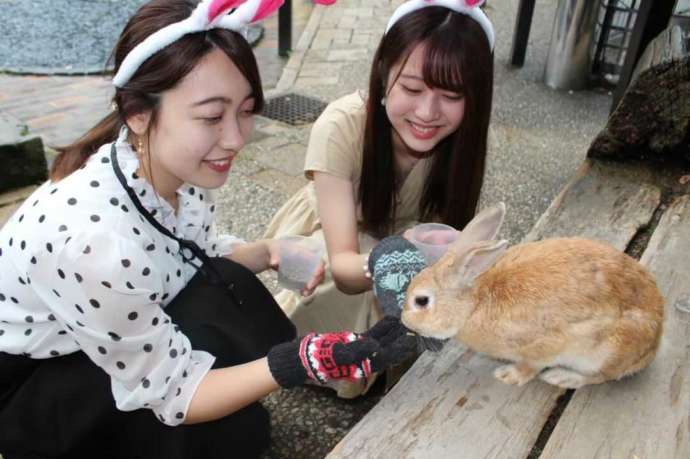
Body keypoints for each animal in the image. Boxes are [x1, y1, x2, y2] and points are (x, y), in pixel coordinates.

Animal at [400, 204, 664, 388]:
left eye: (421, 301)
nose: (404, 321)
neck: (475, 304)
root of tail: (655, 341)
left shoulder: (543, 347)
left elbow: (531, 366)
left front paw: (508, 375)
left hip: (606, 352)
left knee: (601, 376)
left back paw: (562, 378)